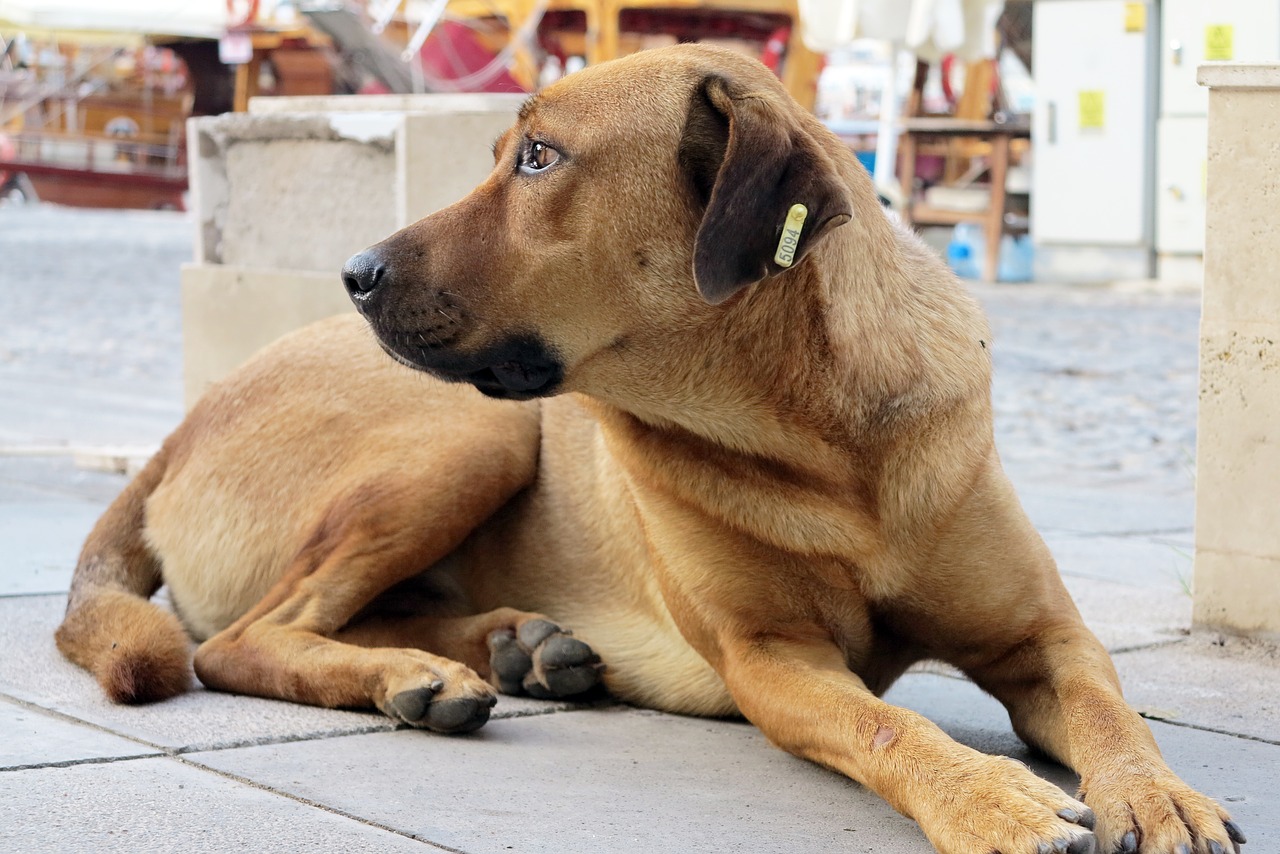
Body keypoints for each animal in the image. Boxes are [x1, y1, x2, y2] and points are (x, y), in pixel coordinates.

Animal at [55, 45, 1244, 854]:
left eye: (539, 159)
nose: (353, 272)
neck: (818, 437)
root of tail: (177, 430)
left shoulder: (1044, 635)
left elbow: (1109, 708)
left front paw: (1159, 792)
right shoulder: (774, 661)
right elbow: (886, 724)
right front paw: (990, 795)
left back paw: (508, 648)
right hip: (471, 429)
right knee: (239, 640)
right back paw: (420, 672)